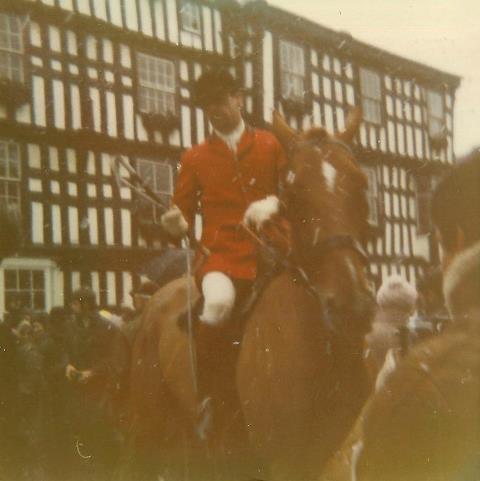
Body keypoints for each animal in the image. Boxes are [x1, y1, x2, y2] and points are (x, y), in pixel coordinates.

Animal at [124, 109, 376, 480]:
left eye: (361, 185)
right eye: (292, 194)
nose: (352, 307)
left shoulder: (337, 454)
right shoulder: (285, 461)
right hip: (148, 424)